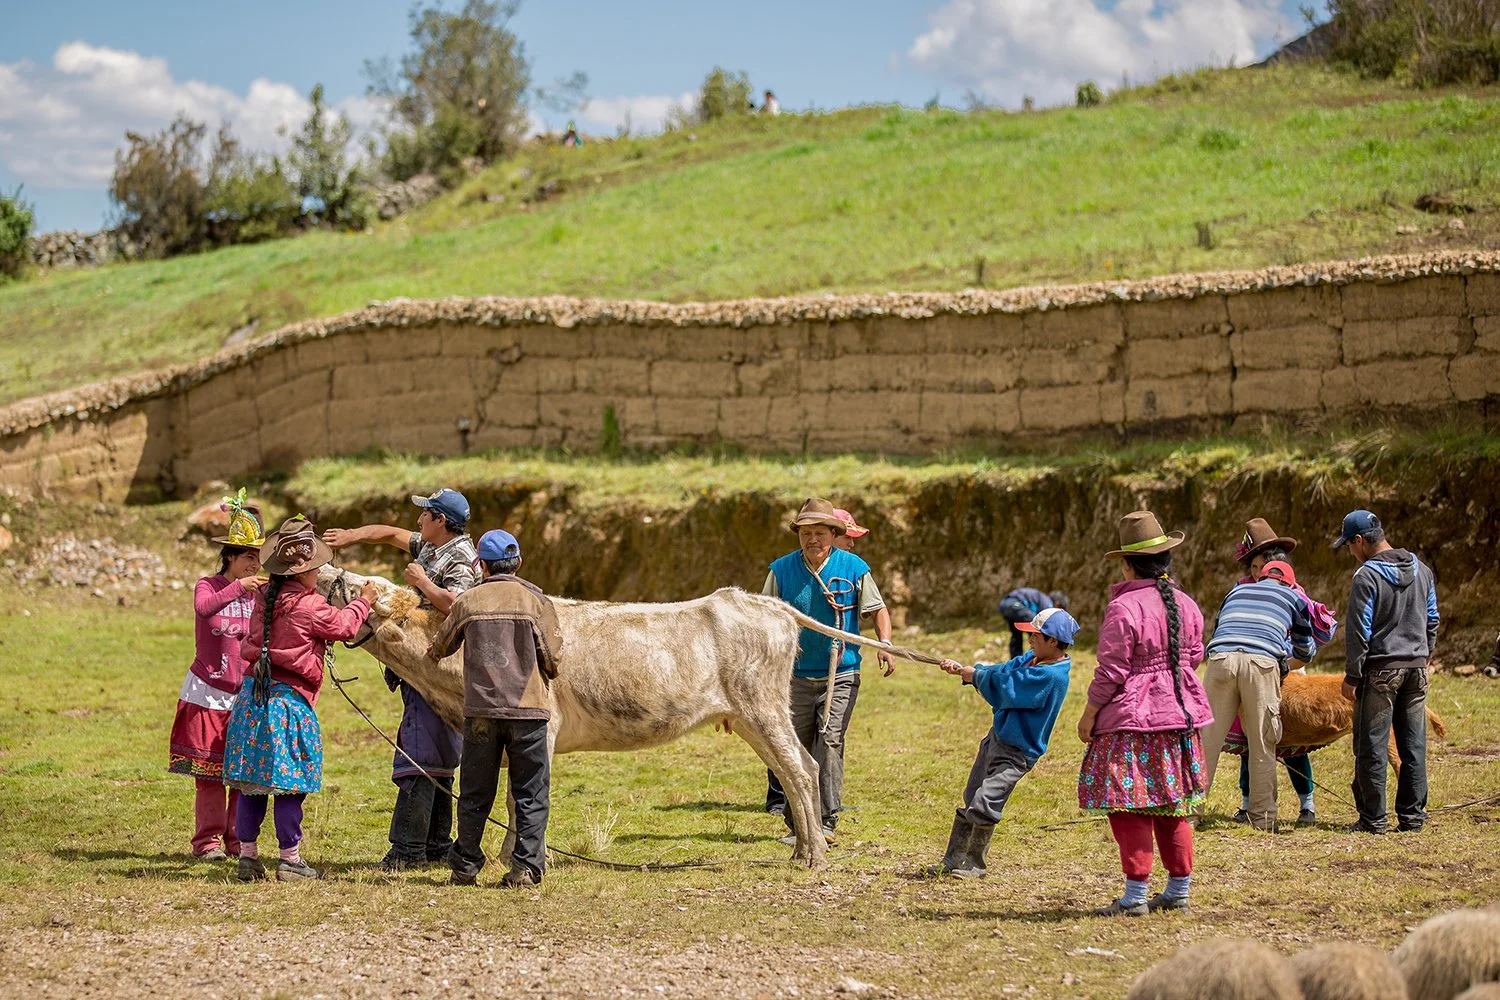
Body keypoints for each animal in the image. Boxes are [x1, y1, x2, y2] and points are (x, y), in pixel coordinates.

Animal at [315, 565, 907, 869]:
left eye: (356, 585)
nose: (321, 567)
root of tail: (759, 602)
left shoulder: (542, 727)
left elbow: (519, 794)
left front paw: (514, 858)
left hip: (762, 707)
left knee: (802, 769)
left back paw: (814, 857)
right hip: (751, 715)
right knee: (792, 768)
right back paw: (805, 849)